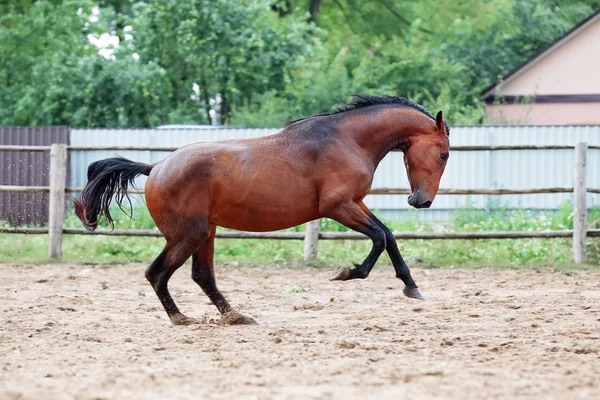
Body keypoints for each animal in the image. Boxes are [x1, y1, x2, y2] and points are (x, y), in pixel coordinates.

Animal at [74, 95, 450, 326]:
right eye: (444, 154)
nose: (421, 201)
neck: (347, 140)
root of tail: (155, 167)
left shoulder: (355, 204)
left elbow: (388, 235)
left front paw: (411, 286)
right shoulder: (339, 207)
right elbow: (380, 238)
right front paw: (348, 273)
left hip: (205, 233)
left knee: (202, 276)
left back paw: (236, 317)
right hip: (188, 234)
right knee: (157, 273)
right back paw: (181, 318)